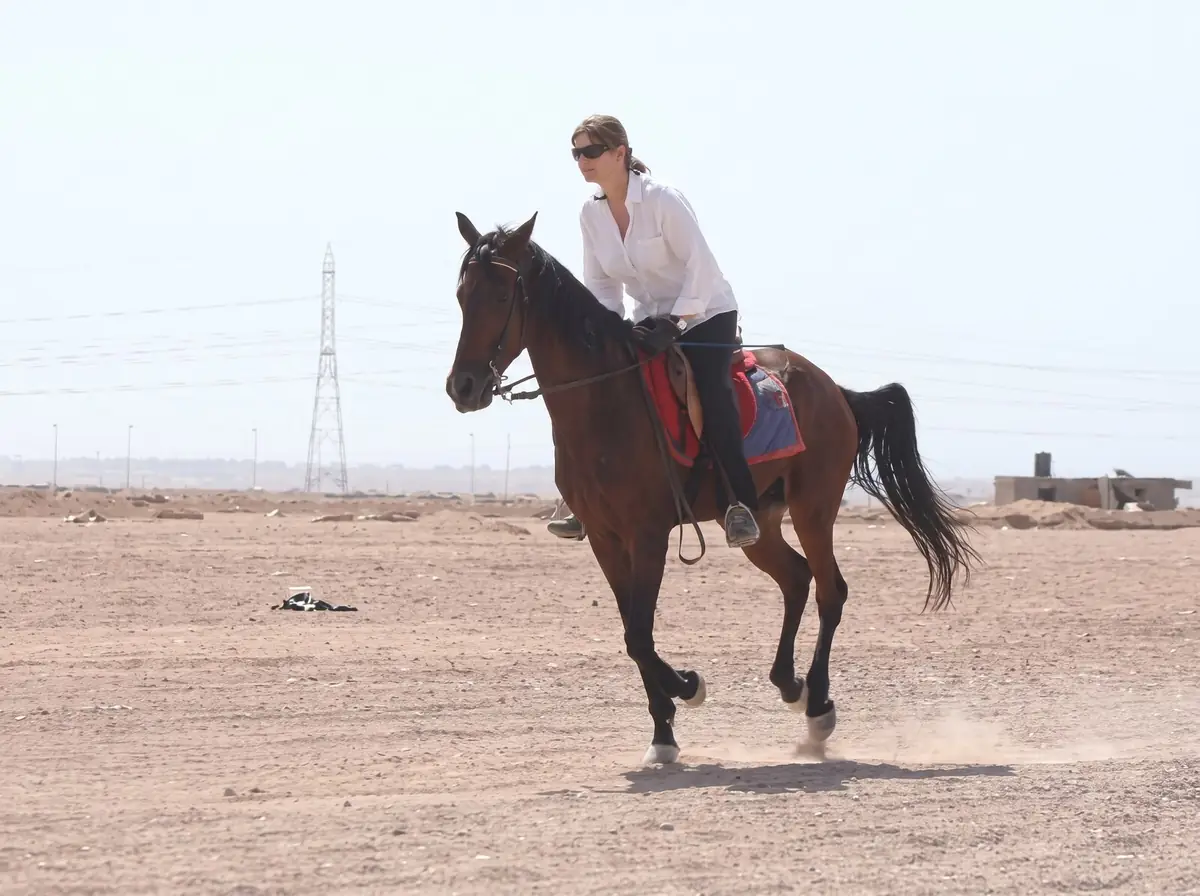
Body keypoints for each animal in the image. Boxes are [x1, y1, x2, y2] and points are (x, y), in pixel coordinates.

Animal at [445, 211, 981, 765]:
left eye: (501, 296)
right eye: (462, 294)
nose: (462, 387)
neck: (605, 403)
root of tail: (835, 389)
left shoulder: (648, 534)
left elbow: (639, 635)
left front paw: (687, 687)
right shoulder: (605, 539)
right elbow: (633, 631)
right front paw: (663, 729)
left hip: (814, 509)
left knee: (830, 590)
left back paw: (817, 708)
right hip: (760, 521)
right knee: (796, 579)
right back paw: (790, 686)